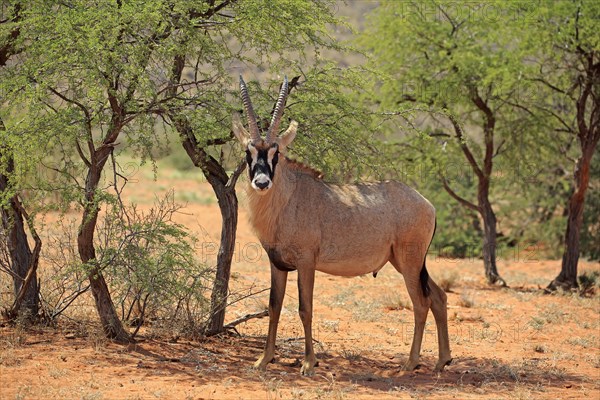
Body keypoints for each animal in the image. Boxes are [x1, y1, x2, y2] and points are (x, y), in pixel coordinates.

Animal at [233, 76, 450, 376]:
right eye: (249, 151)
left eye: (277, 152)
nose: (262, 182)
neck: (289, 197)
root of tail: (428, 204)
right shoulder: (277, 264)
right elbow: (274, 307)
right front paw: (263, 359)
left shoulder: (306, 262)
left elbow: (305, 308)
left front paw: (309, 363)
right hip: (407, 261)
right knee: (438, 296)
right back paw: (442, 360)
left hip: (409, 261)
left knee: (421, 303)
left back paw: (410, 363)